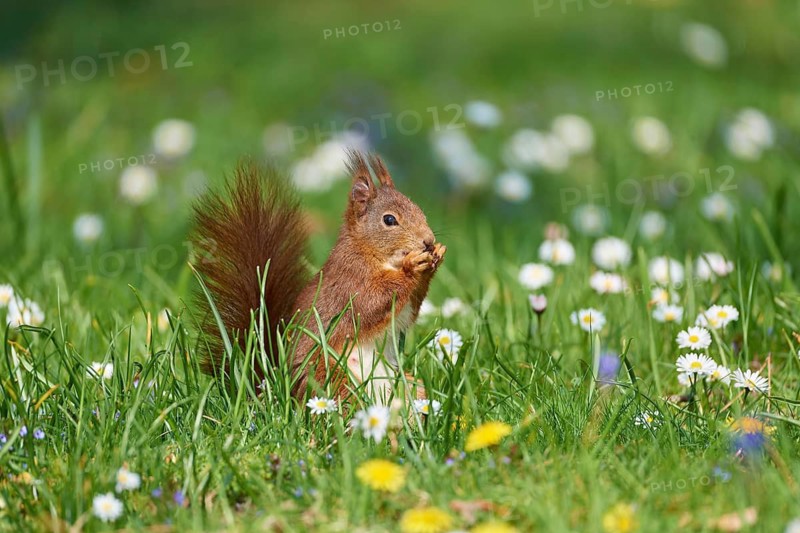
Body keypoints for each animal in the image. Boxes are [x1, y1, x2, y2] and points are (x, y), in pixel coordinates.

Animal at [191, 151, 446, 404]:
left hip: (407, 385)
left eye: (419, 209)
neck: (371, 252)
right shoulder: (350, 279)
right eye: (389, 220)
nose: (428, 240)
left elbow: (408, 312)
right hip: (330, 376)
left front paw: (436, 257)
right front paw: (412, 268)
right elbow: (370, 303)